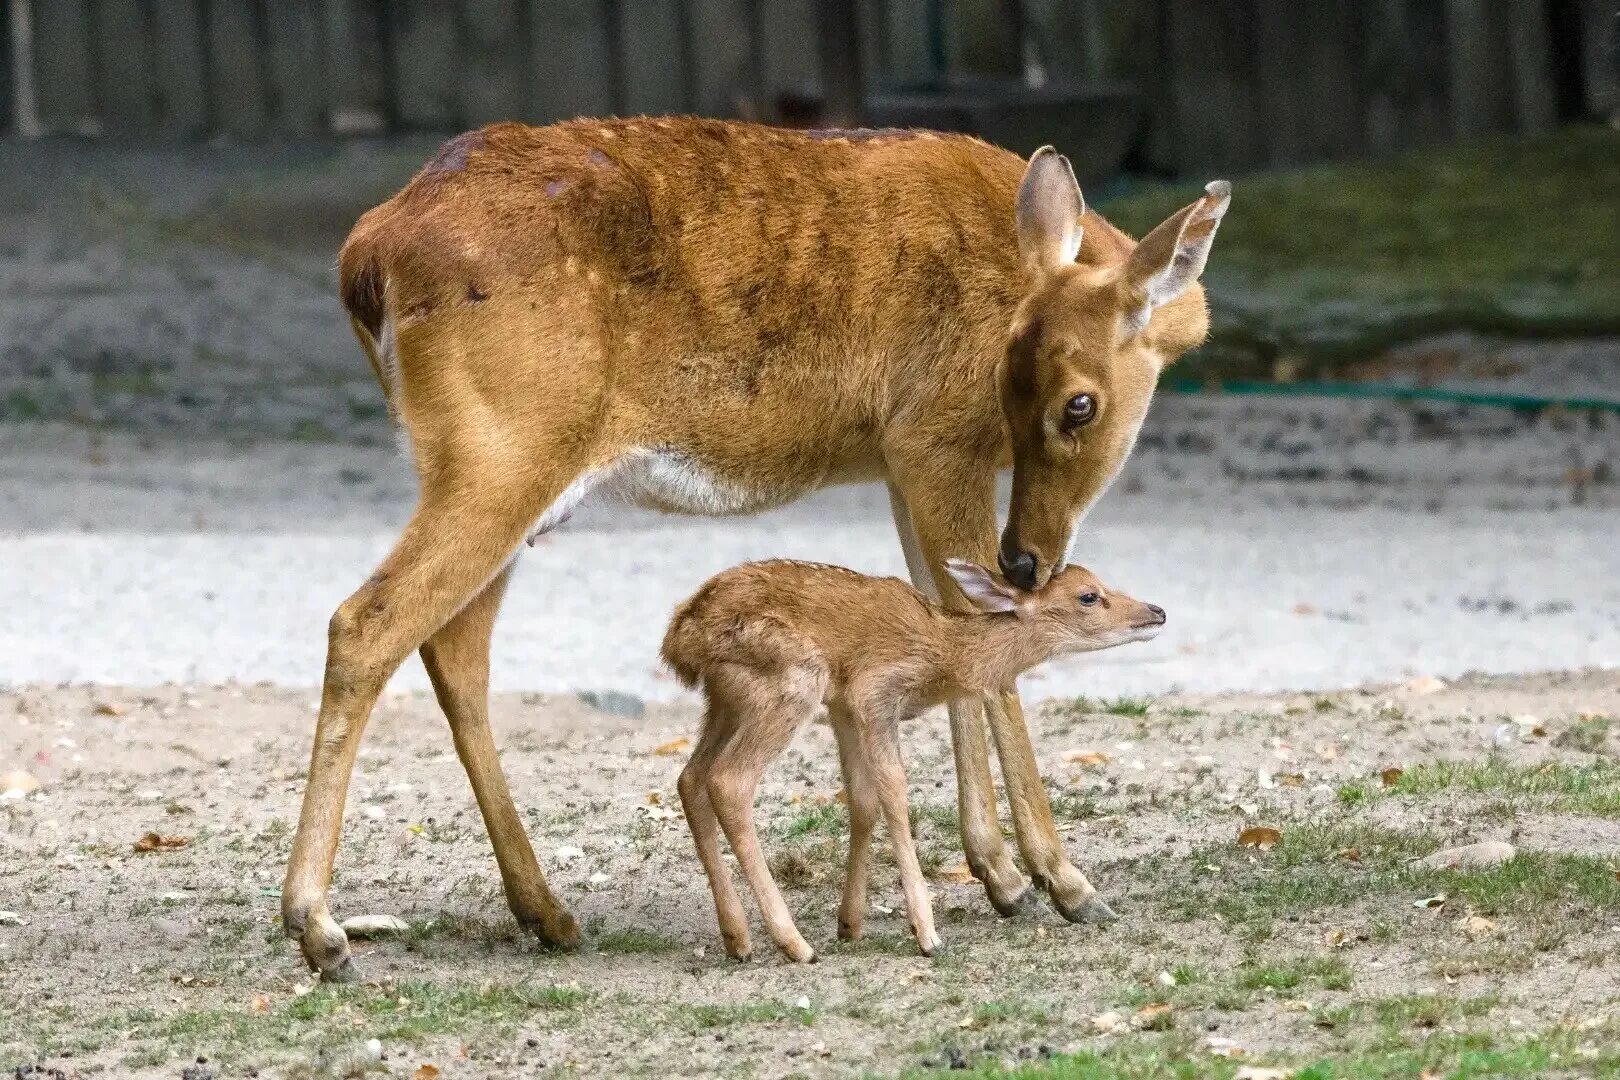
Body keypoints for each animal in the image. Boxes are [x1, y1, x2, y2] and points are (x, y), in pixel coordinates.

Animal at [288, 118, 1224, 977]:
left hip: (497, 471)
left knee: (453, 648)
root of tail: (365, 257)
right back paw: (319, 927)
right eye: (1071, 402)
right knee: (367, 622)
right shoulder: (933, 436)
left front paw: (999, 874)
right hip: (503, 447)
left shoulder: (901, 461)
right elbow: (978, 631)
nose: (1030, 557)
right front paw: (1062, 881)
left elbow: (945, 615)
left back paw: (547, 914)